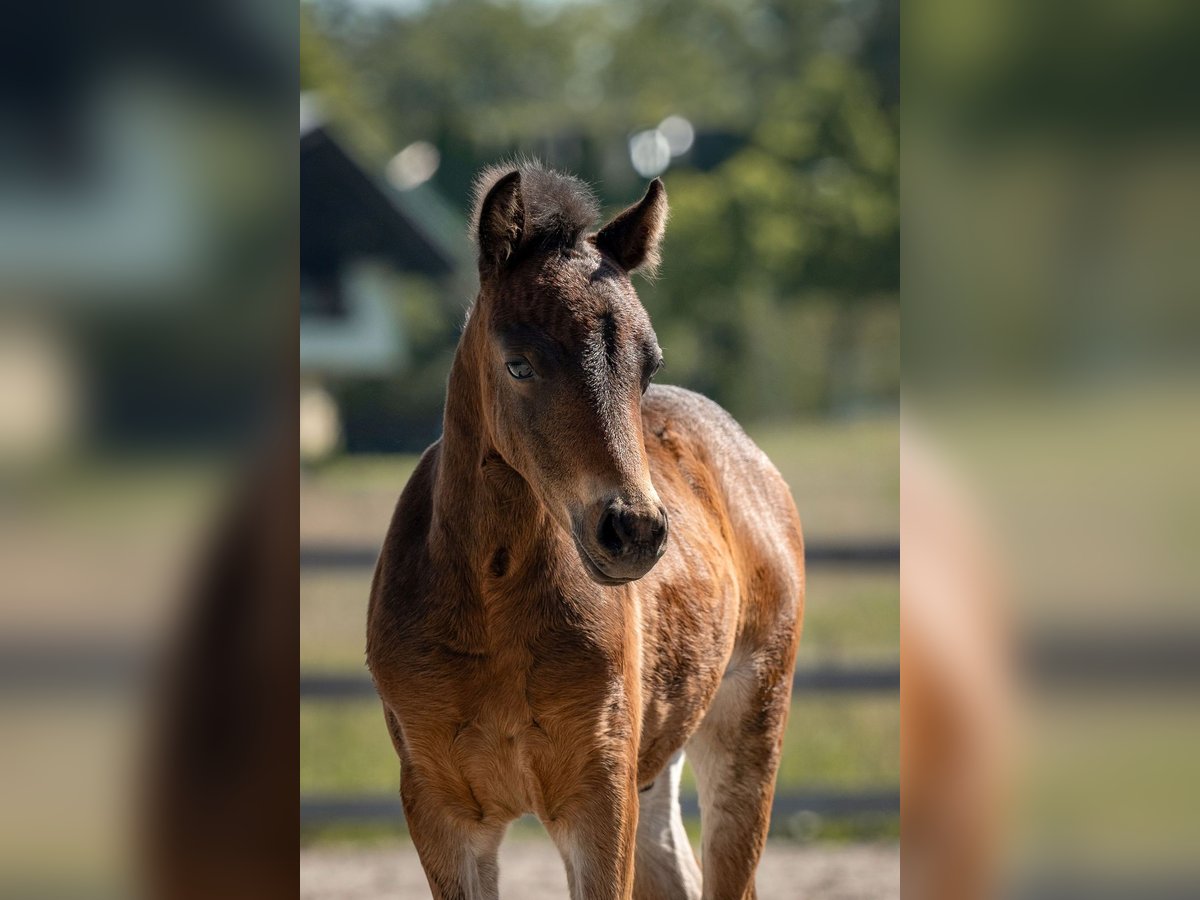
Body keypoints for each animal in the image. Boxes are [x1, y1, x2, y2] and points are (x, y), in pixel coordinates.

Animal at [360, 164, 801, 900]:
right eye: (519, 363)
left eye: (647, 366)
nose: (633, 530)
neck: (492, 603)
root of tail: (751, 460)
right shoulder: (442, 812)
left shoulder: (599, 798)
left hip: (746, 731)